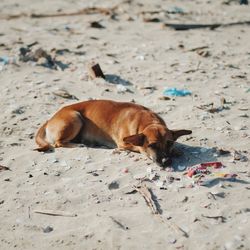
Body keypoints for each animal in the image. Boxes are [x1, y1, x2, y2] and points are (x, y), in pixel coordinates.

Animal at [35, 98, 191, 167]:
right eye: (152, 146)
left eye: (169, 143)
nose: (166, 161)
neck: (148, 122)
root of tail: (50, 119)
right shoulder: (123, 144)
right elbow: (138, 147)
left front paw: (176, 150)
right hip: (75, 117)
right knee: (58, 143)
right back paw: (77, 144)